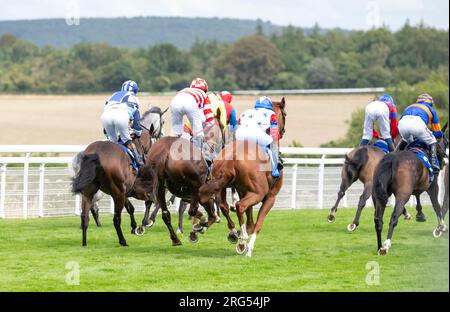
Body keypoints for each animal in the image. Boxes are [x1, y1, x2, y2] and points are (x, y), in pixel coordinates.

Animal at [199, 97, 286, 256]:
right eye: (285, 115)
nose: (282, 132)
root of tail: (232, 158)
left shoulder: (244, 191)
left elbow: (250, 219)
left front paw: (241, 237)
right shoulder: (270, 196)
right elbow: (258, 223)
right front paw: (249, 247)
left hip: (220, 184)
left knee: (224, 206)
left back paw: (235, 234)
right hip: (258, 192)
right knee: (240, 205)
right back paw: (243, 238)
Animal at [372, 123, 450, 255]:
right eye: (447, 142)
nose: (445, 160)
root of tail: (391, 160)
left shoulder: (416, 186)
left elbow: (418, 196)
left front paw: (420, 214)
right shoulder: (433, 187)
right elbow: (436, 206)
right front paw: (441, 227)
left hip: (378, 195)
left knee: (378, 220)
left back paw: (379, 247)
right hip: (403, 194)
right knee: (394, 217)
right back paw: (386, 245)